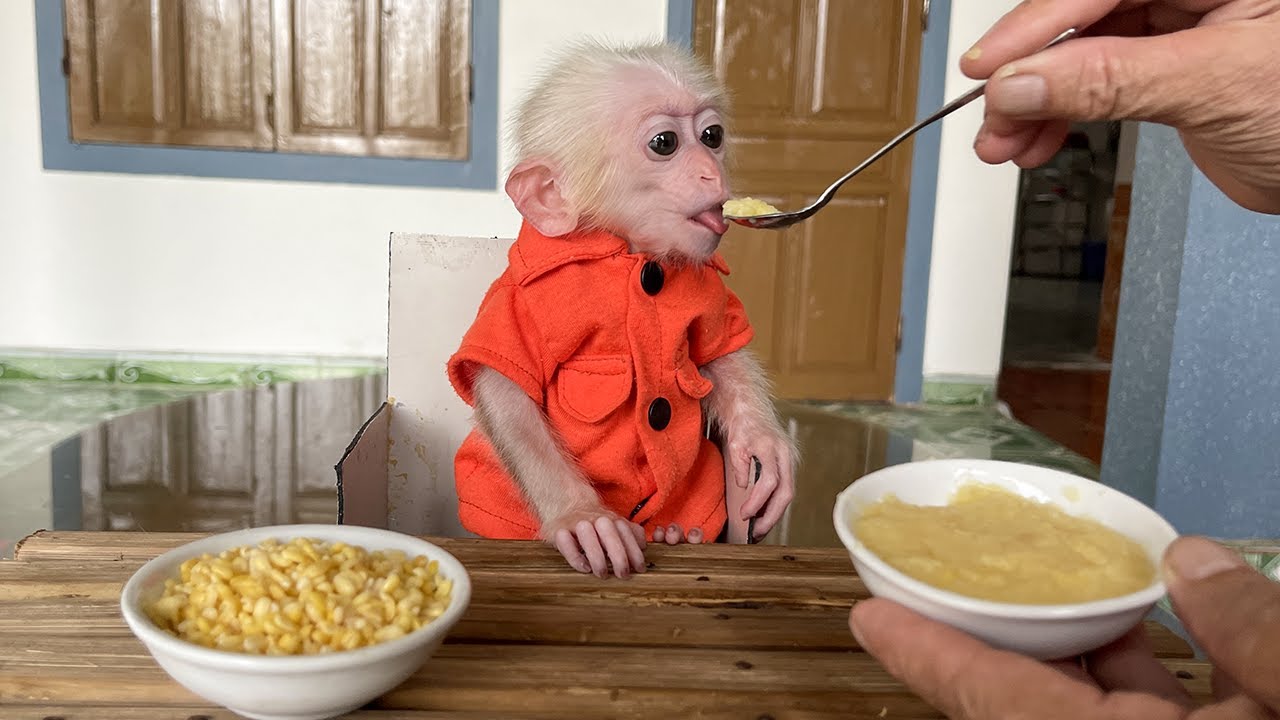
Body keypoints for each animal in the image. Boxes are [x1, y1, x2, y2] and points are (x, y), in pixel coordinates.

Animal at [446, 39, 797, 578]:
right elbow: (508, 395)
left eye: (712, 136)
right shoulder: (520, 296)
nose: (711, 171)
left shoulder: (708, 280)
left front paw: (759, 441)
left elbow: (720, 353)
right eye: (665, 143)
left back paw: (685, 532)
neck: (629, 253)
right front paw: (581, 514)